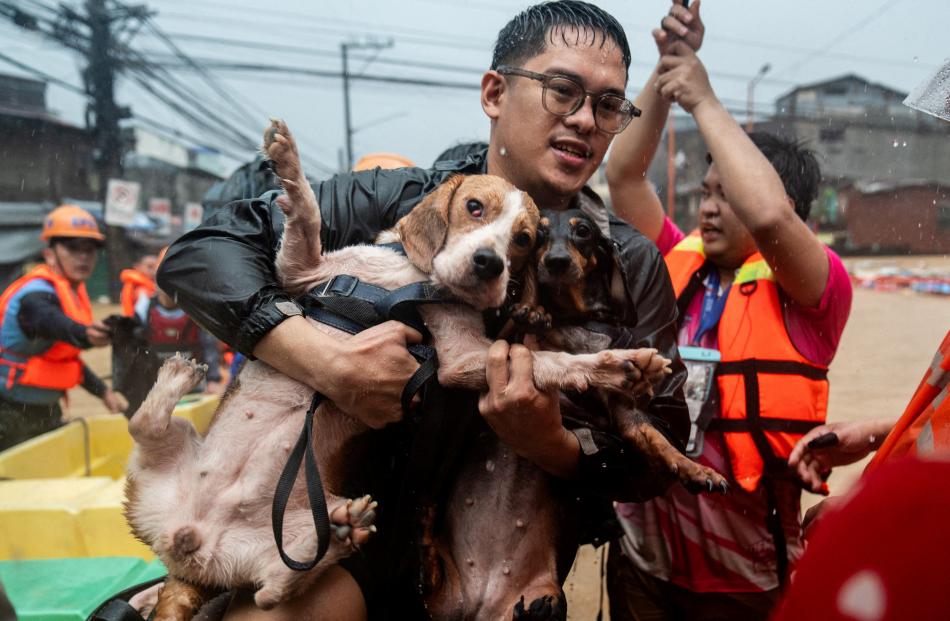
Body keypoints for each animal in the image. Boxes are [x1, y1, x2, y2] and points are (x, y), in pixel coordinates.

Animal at [126, 121, 672, 620]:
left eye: (522, 240)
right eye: (475, 207)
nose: (488, 264)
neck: (415, 280)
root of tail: (190, 550)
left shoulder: (460, 356)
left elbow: (548, 361)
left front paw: (615, 366)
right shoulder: (302, 272)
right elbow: (307, 214)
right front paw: (287, 162)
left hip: (265, 543)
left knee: (272, 588)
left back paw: (341, 530)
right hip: (157, 471)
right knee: (144, 427)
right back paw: (176, 380)